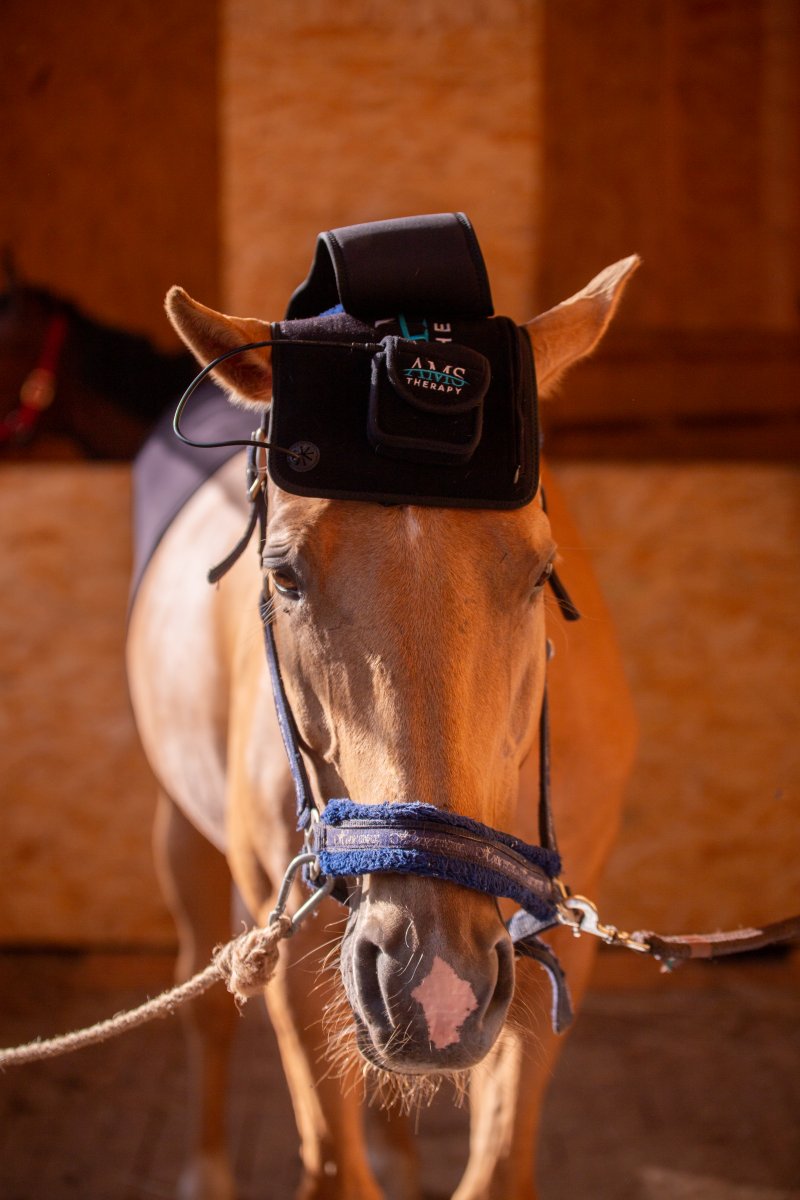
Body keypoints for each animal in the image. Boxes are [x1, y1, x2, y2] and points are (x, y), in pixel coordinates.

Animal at [126, 250, 640, 1200]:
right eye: (283, 575)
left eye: (539, 571)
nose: (433, 983)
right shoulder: (292, 947)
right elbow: (333, 1160)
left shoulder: (550, 951)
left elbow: (497, 1161)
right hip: (187, 831)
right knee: (204, 1007)